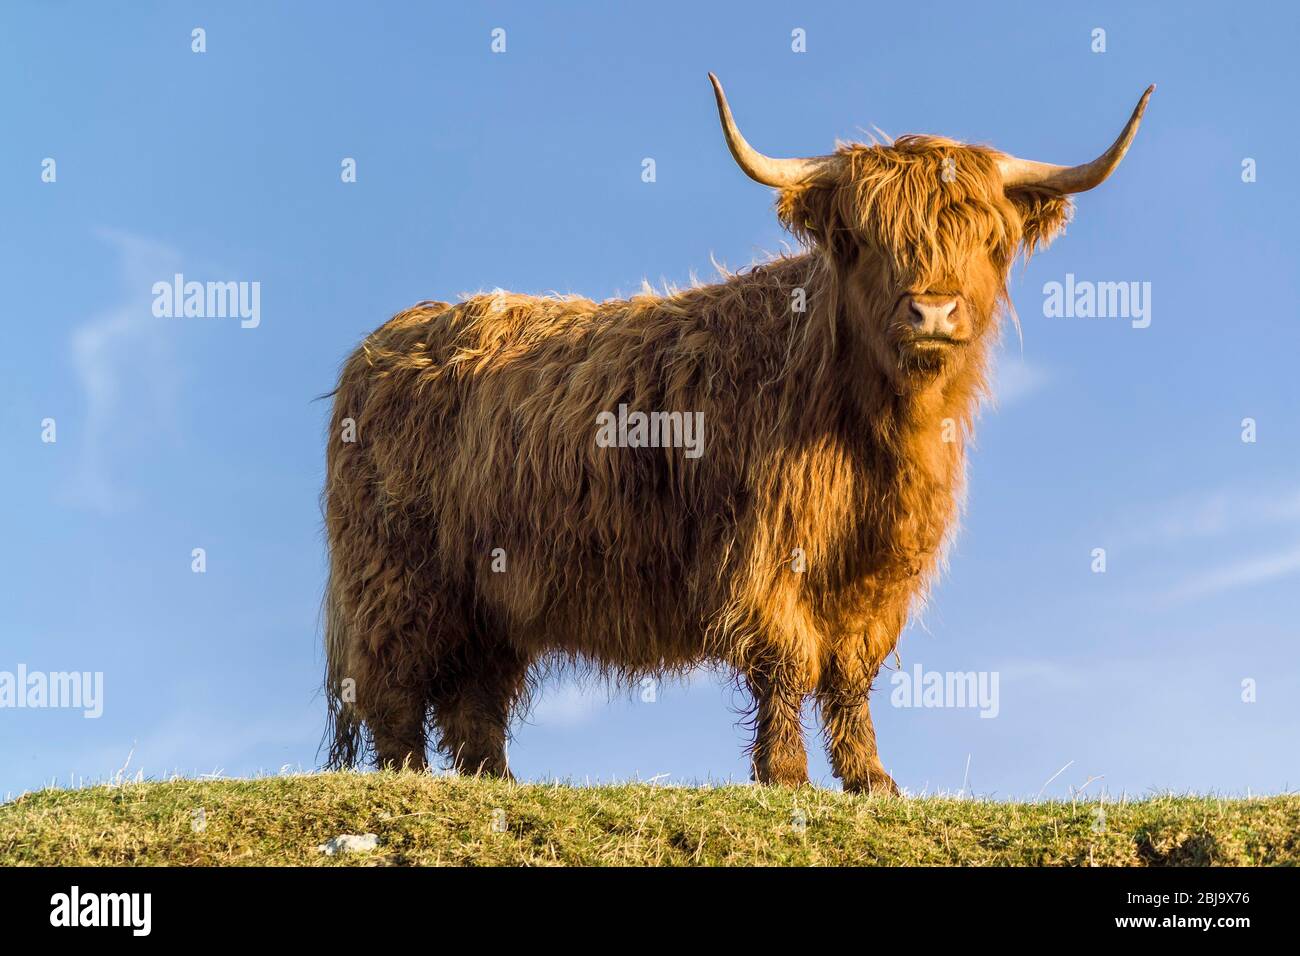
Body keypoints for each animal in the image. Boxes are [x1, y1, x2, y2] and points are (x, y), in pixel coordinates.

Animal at [319, 72, 1154, 790]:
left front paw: (871, 779)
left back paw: (494, 779)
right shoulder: (767, 548)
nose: (933, 311)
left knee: (474, 694)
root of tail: (384, 342)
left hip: (488, 591)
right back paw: (409, 777)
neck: (876, 429)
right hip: (395, 572)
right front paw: (784, 773)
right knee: (394, 682)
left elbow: (852, 670)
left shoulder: (883, 567)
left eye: (987, 237)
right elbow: (786, 660)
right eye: (863, 237)